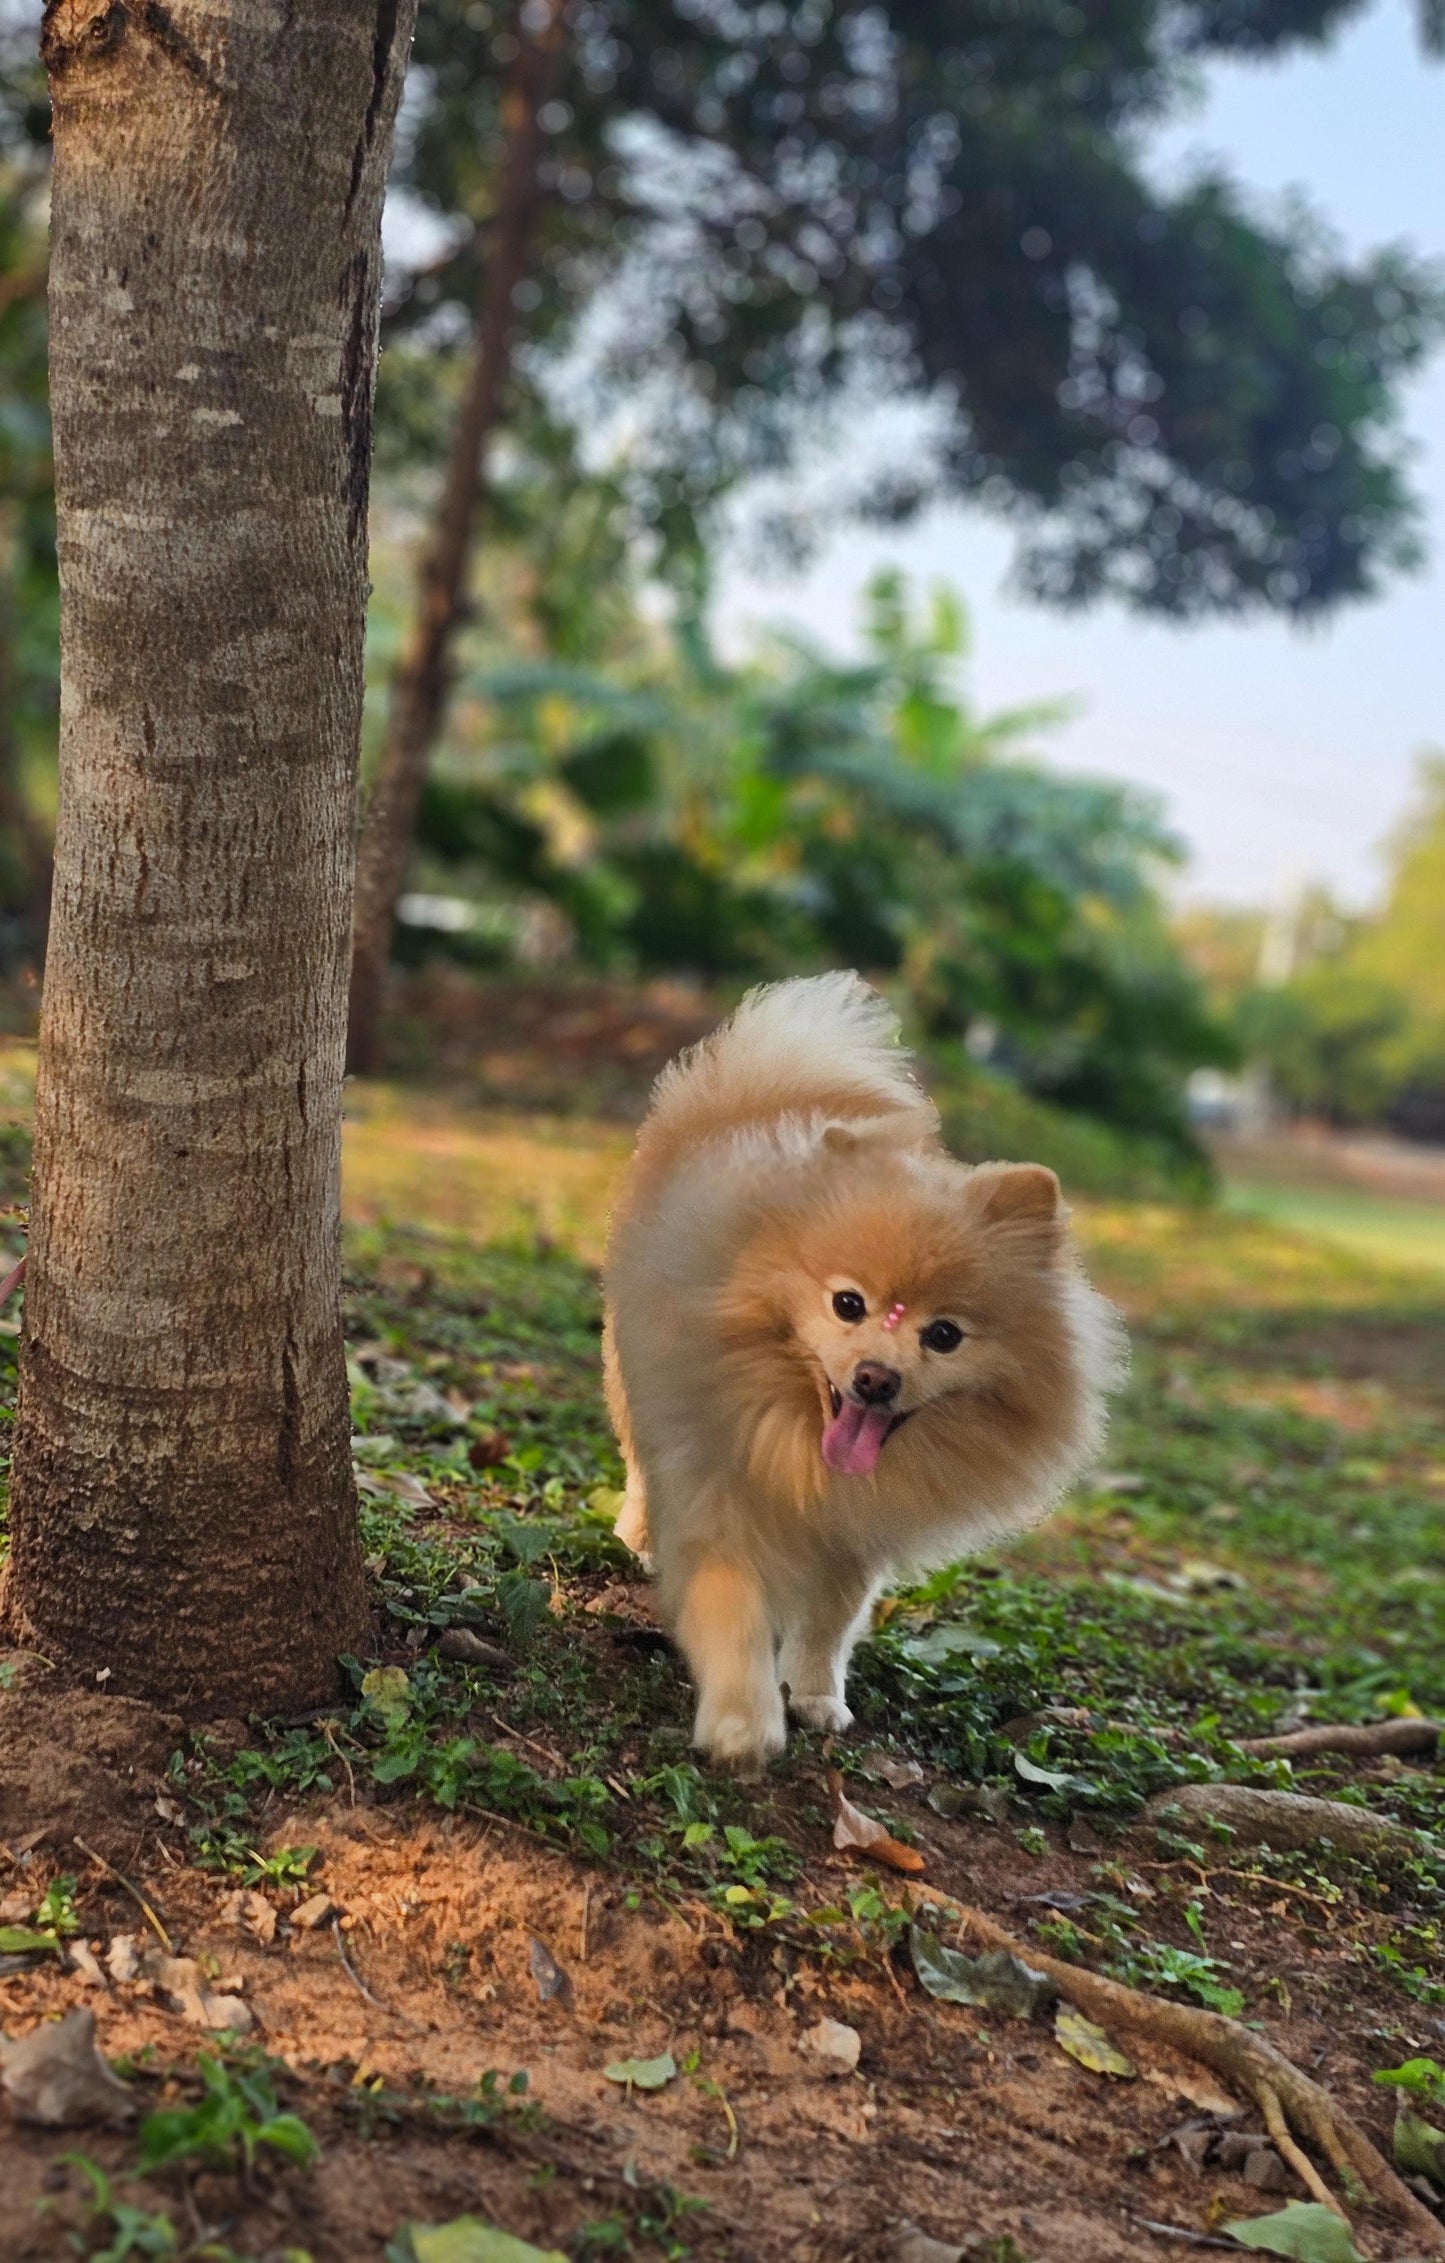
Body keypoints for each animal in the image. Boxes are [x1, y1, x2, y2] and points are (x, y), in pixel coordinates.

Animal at [606, 973, 1126, 1765]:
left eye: (943, 1335)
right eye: (847, 1304)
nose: (876, 1377)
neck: (792, 1436)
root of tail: (755, 1090)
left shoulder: (852, 1535)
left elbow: (830, 1619)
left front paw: (815, 1693)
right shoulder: (713, 1490)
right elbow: (730, 1606)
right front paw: (742, 1720)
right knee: (638, 1462)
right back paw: (634, 1536)